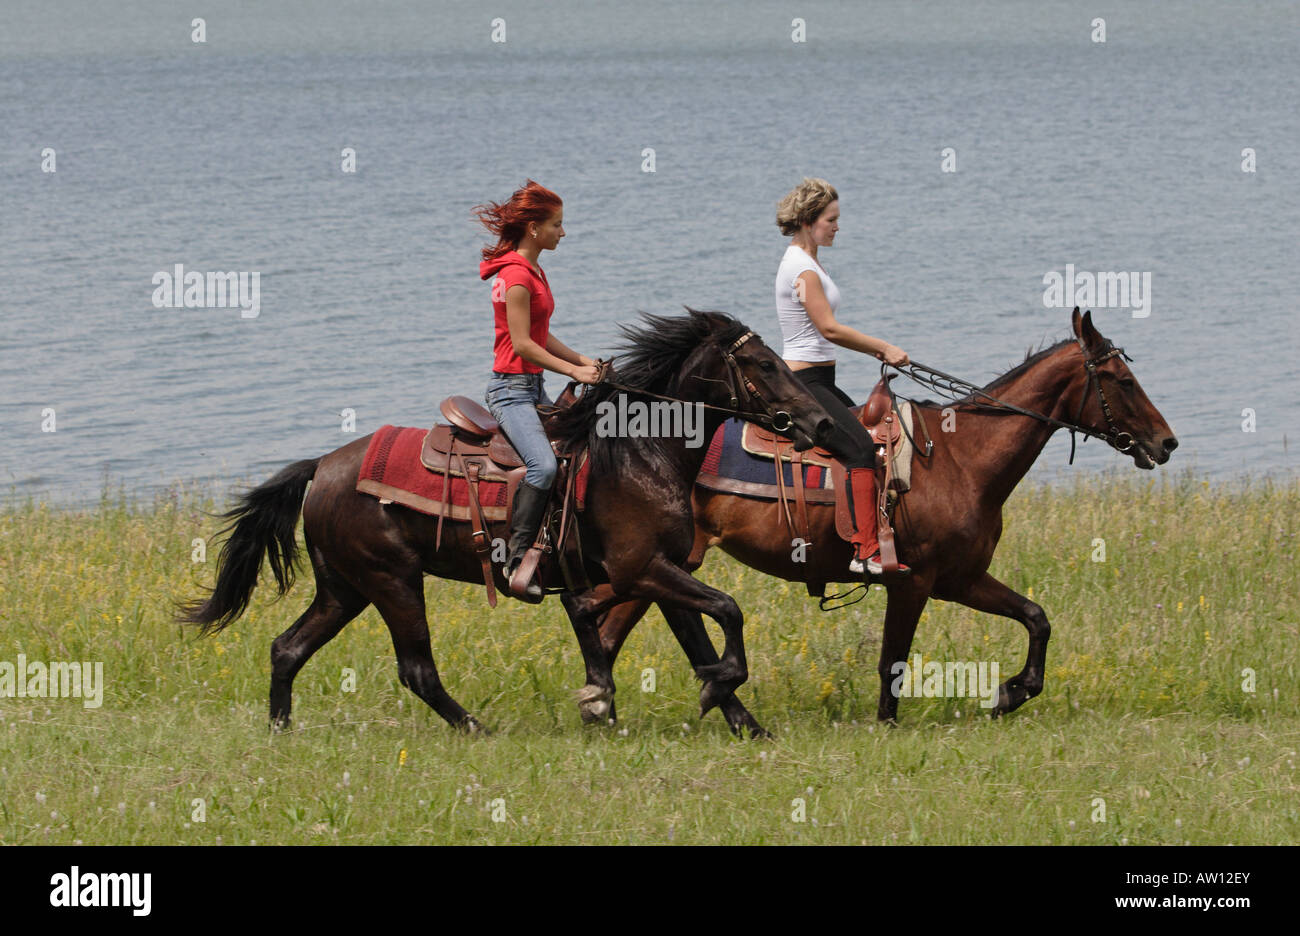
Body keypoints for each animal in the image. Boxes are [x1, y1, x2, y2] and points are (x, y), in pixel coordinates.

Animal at [177, 310, 834, 732]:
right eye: (762, 364)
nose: (821, 423)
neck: (640, 453)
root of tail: (322, 467)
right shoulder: (643, 569)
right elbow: (728, 611)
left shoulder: (657, 573)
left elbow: (698, 641)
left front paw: (743, 723)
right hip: (392, 581)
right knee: (416, 668)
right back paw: (475, 729)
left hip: (345, 588)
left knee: (287, 648)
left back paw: (280, 730)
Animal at [591, 309, 1178, 734]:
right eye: (1122, 380)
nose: (1166, 442)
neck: (960, 458)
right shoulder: (913, 582)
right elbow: (893, 657)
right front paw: (887, 725)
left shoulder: (960, 579)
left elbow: (1036, 618)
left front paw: (1010, 693)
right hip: (659, 563)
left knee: (613, 626)